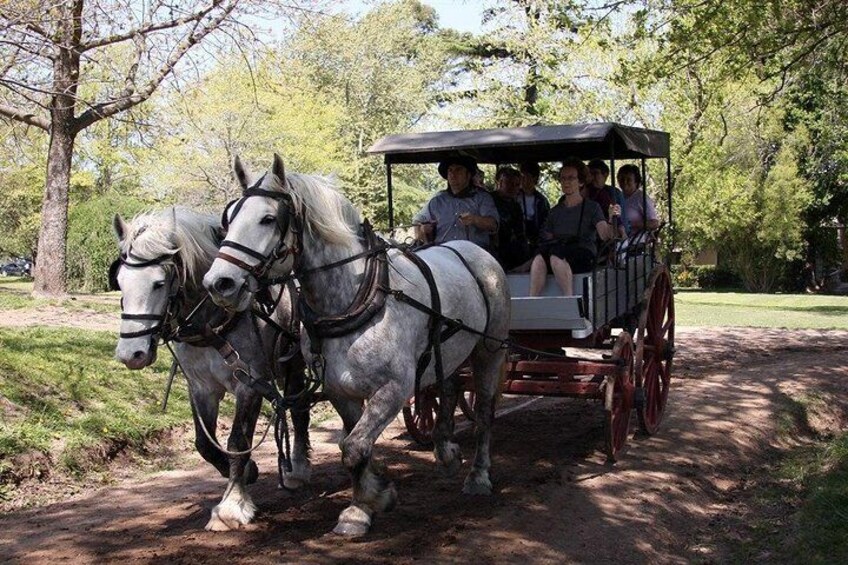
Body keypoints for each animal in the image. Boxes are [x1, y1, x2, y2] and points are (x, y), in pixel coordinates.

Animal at [111, 206, 312, 528]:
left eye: (158, 283)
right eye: (120, 281)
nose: (132, 353)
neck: (214, 320)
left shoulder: (249, 384)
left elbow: (238, 440)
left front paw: (232, 505)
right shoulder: (201, 388)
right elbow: (204, 443)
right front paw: (247, 471)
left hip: (294, 363)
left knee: (299, 408)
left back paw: (299, 467)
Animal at [204, 156, 510, 536]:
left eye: (268, 218)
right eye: (228, 219)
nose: (218, 283)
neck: (357, 297)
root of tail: (472, 249)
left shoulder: (394, 389)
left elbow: (353, 446)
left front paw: (361, 506)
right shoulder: (341, 390)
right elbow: (352, 443)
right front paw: (371, 496)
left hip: (490, 350)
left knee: (483, 412)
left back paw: (478, 475)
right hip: (449, 350)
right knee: (449, 387)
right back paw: (446, 449)